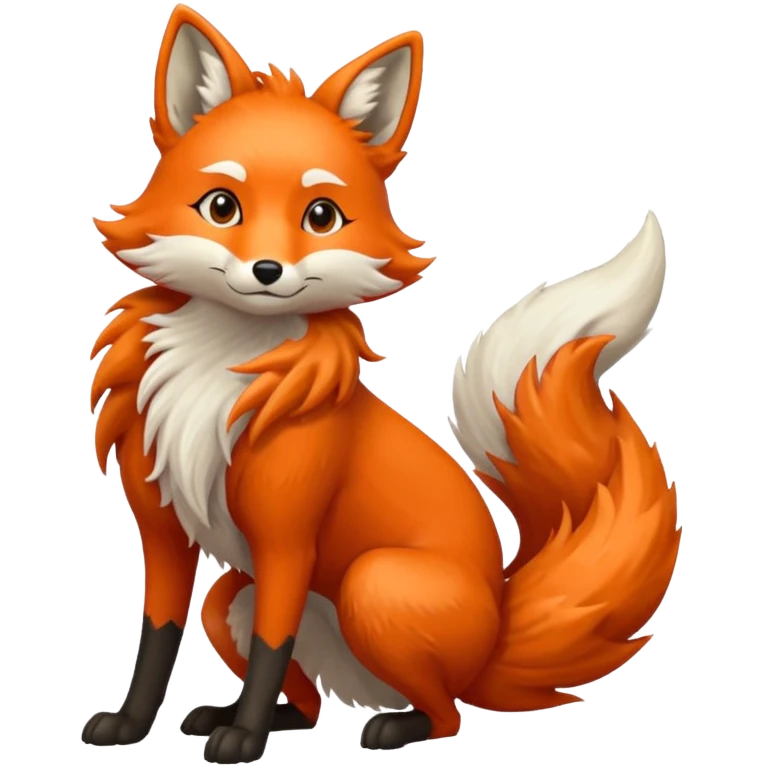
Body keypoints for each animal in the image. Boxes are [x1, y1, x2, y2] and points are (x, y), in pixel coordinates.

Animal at [83, 4, 681, 763]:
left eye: (320, 216)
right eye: (221, 207)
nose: (268, 272)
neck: (222, 361)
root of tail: (496, 627)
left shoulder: (287, 539)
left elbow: (272, 644)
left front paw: (243, 740)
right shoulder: (163, 531)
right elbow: (157, 641)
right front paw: (133, 725)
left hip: (375, 584)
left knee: (446, 713)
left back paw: (388, 727)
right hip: (231, 602)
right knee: (310, 702)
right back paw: (244, 716)